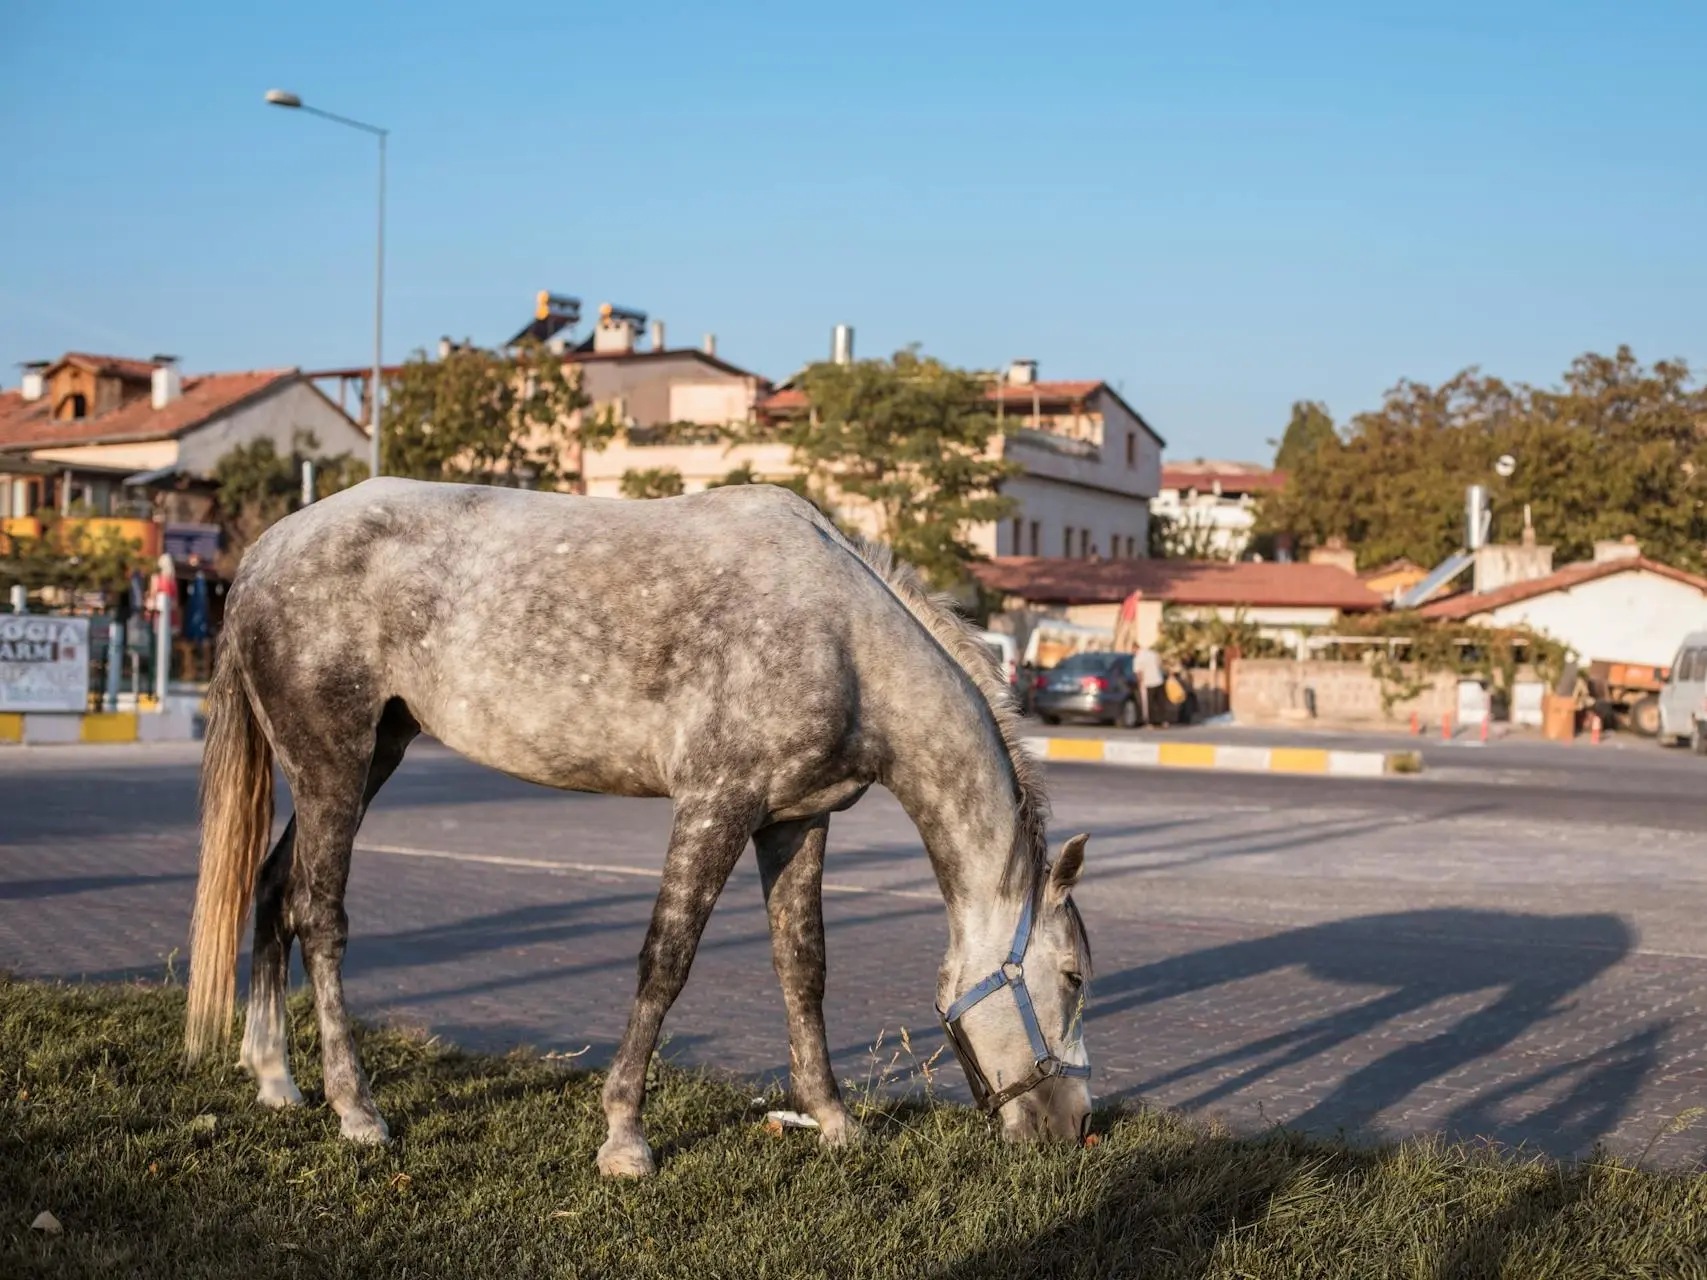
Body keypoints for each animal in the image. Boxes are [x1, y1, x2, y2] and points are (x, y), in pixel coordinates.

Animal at [186, 477, 1092, 1174]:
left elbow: (802, 968)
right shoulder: (714, 804)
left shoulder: (794, 823)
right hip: (334, 764)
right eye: (1075, 976)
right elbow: (666, 962)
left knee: (273, 887)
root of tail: (264, 553)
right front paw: (625, 1137)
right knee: (319, 915)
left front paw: (833, 1120)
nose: (1074, 1125)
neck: (845, 641)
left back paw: (274, 1078)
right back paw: (356, 1109)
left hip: (370, 755)